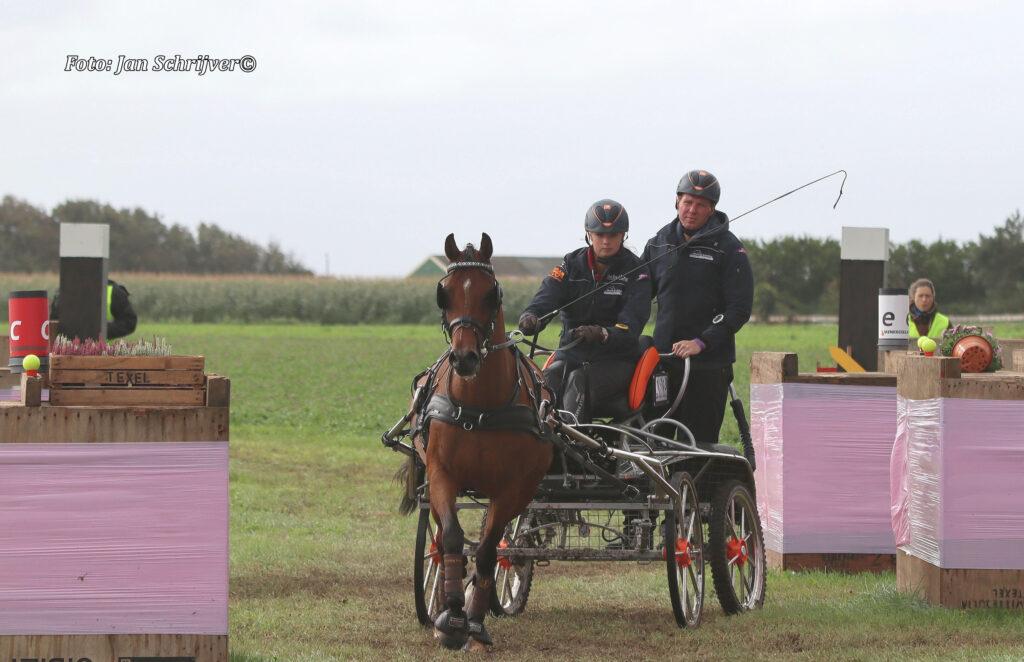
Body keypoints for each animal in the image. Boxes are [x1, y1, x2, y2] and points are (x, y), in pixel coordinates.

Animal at [402, 233, 553, 651]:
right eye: (444, 293)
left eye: (492, 294)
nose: (465, 358)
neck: (480, 406)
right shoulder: (441, 475)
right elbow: (453, 539)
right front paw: (450, 617)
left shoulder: (513, 488)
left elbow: (488, 550)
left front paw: (474, 623)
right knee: (441, 540)